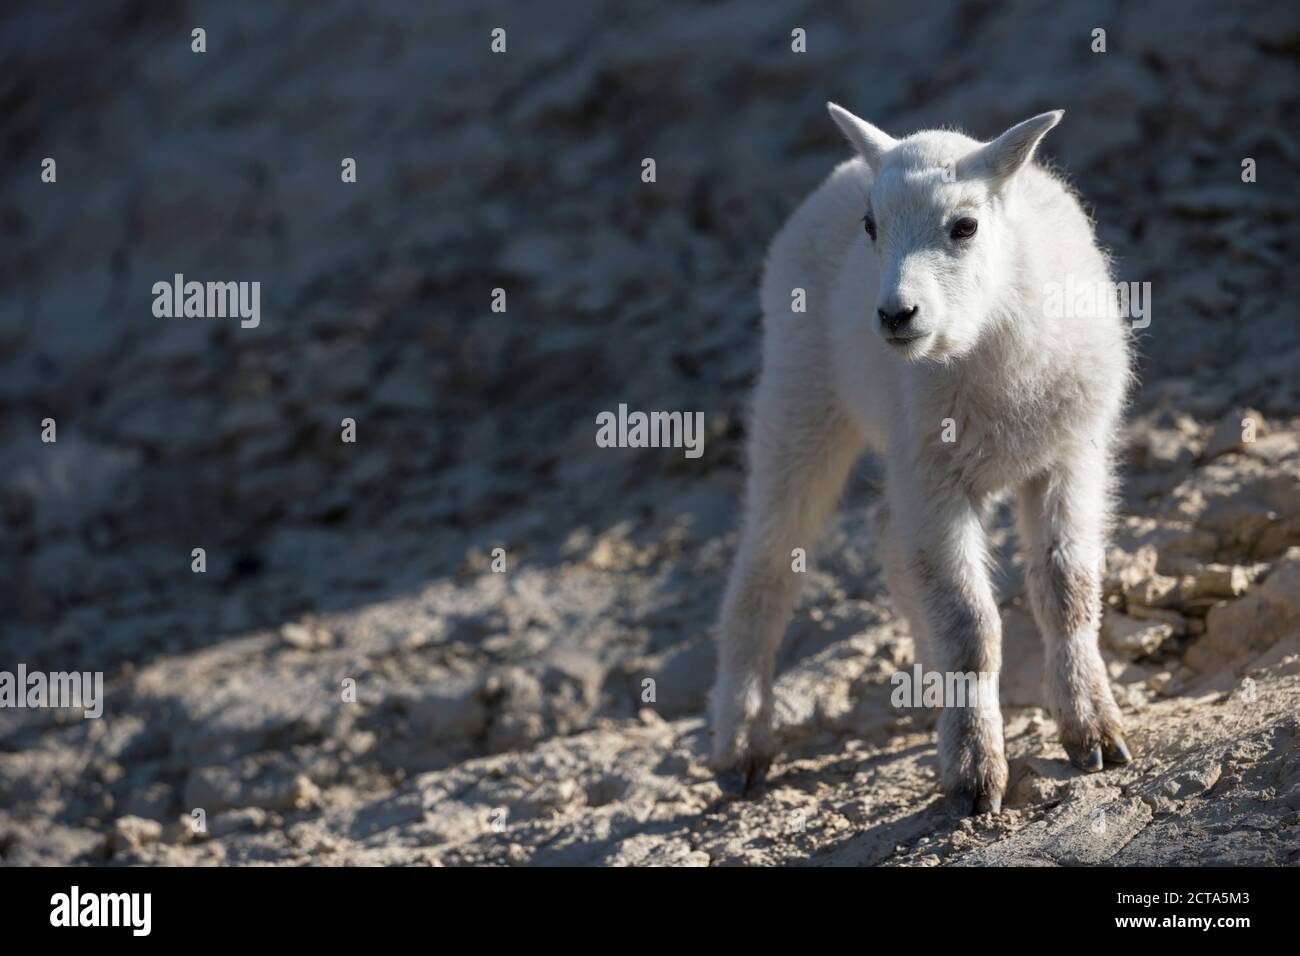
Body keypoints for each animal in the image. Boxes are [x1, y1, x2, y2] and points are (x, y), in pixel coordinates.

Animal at [712, 104, 1138, 816]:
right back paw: (741, 745)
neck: (995, 345)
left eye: (964, 225)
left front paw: (1094, 733)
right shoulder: (935, 479)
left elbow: (1067, 590)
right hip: (801, 398)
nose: (895, 314)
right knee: (768, 561)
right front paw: (974, 774)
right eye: (871, 226)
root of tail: (841, 170)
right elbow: (969, 625)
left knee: (888, 536)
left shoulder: (1070, 457)